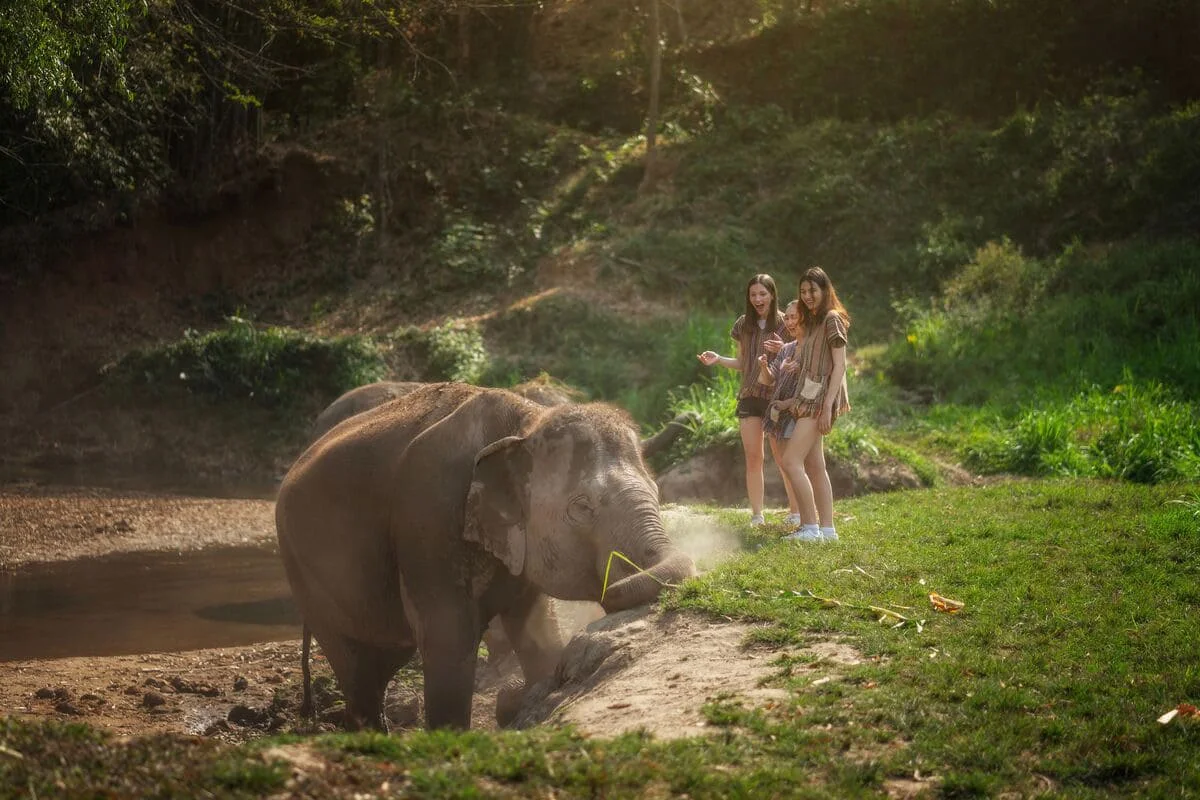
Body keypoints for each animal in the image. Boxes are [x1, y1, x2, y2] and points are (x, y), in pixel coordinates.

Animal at [277, 382, 696, 730]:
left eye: (657, 490)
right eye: (581, 507)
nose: (610, 590)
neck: (525, 422)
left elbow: (536, 626)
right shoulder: (427, 516)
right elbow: (448, 636)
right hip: (304, 572)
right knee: (356, 668)